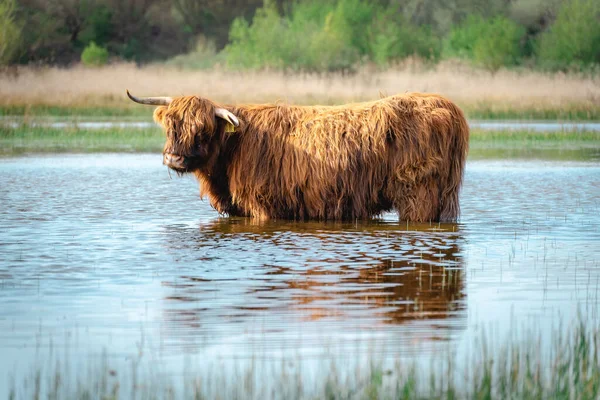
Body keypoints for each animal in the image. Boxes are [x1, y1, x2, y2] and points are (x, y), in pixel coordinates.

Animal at [129, 90, 472, 222]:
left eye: (202, 131)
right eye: (171, 126)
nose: (174, 159)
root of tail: (446, 105)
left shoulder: (263, 205)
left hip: (420, 195)